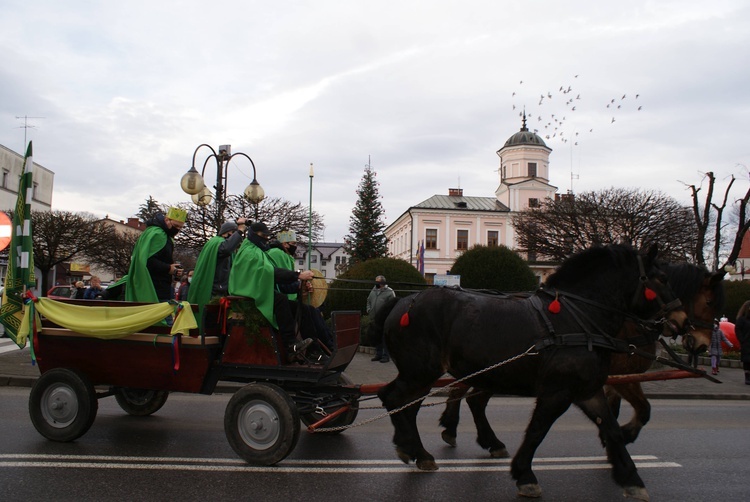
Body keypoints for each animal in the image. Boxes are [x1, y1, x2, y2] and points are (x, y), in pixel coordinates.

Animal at [378, 245, 692, 500]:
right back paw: (417, 450)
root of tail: (402, 301)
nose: (682, 321)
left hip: (427, 375)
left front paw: (631, 478)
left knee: (408, 406)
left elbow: (611, 429)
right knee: (393, 399)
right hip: (421, 372)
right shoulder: (557, 392)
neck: (576, 318)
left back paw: (415, 450)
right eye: (662, 279)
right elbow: (537, 431)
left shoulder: (588, 390)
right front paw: (525, 475)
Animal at [438, 260, 724, 456]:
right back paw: (479, 438)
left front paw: (611, 437)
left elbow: (612, 408)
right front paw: (624, 435)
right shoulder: (624, 375)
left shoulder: (609, 377)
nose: (700, 344)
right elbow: (643, 409)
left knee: (464, 394)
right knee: (471, 398)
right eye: (710, 302)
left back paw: (457, 430)